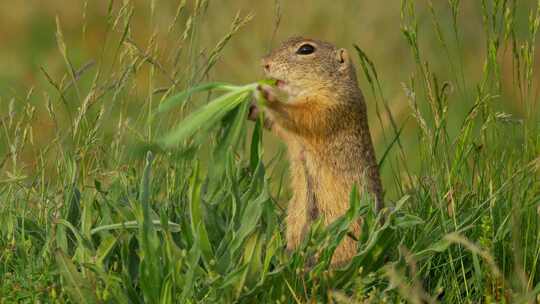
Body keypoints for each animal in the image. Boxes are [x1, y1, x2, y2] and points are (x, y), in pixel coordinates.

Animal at [250, 37, 384, 266]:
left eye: (306, 49)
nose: (264, 63)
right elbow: (278, 124)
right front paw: (251, 105)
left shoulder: (331, 106)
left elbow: (301, 116)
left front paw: (266, 94)